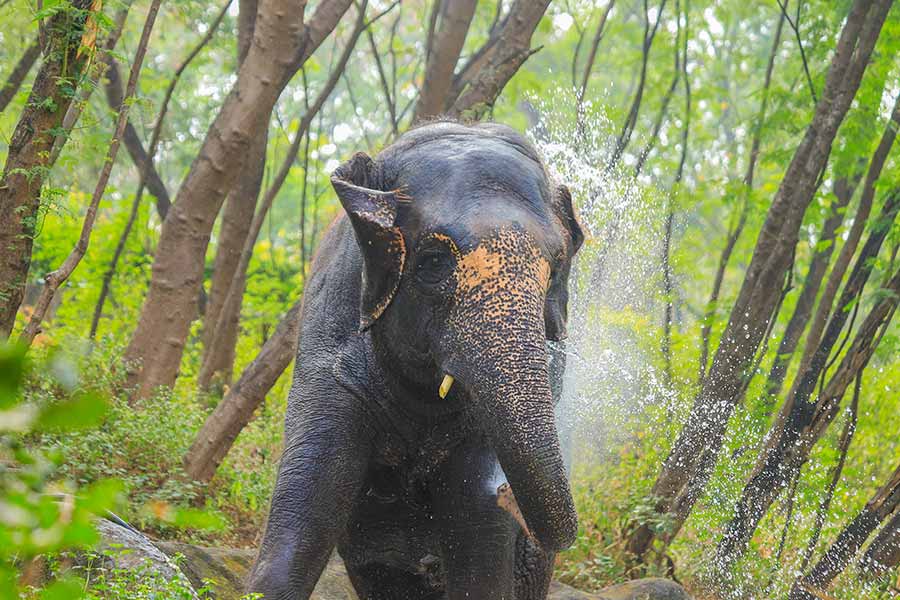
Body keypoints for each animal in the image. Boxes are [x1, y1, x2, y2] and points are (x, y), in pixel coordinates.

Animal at [247, 121, 584, 600]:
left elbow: (477, 530)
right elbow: (309, 498)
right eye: (433, 262)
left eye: (555, 267)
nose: (505, 493)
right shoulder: (329, 348)